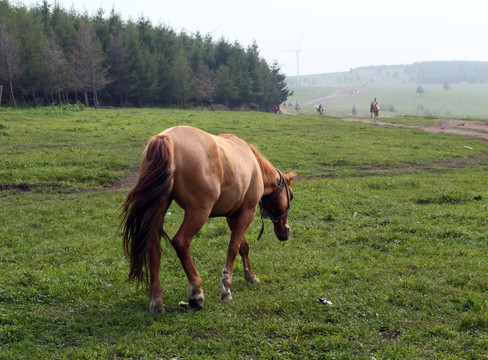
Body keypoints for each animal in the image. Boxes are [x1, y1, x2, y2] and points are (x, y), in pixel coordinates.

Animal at [121, 125, 298, 314]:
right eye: (291, 196)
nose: (285, 231)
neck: (253, 164)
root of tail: (165, 138)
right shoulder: (247, 212)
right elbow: (233, 248)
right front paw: (226, 289)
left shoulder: (232, 215)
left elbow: (243, 247)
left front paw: (250, 277)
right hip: (199, 212)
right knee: (181, 242)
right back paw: (196, 292)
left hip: (158, 208)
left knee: (154, 248)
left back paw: (156, 302)